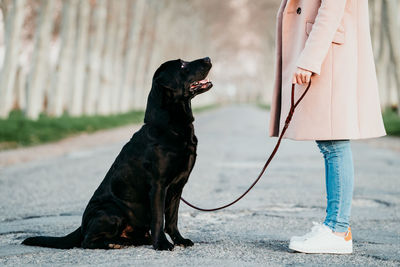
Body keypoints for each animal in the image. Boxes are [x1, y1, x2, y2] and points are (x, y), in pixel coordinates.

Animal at [22, 57, 212, 251]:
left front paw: (180, 240)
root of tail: (81, 226)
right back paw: (115, 243)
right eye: (182, 65)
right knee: (87, 241)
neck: (171, 126)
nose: (207, 59)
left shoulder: (177, 187)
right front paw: (162, 244)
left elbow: (172, 219)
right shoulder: (158, 185)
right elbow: (159, 219)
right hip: (112, 211)